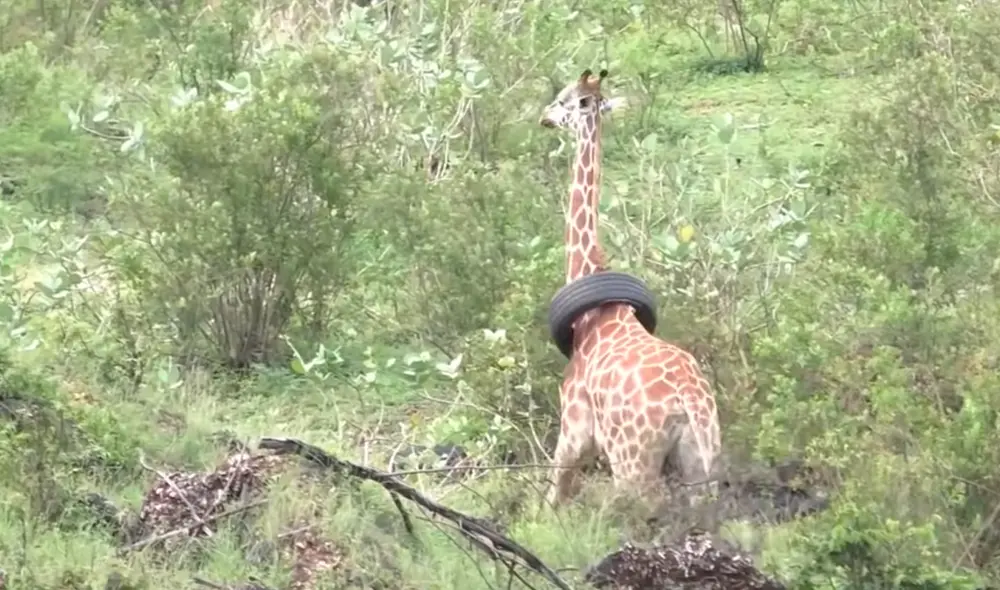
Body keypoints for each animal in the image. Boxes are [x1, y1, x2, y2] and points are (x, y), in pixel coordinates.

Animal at [539, 69, 722, 506]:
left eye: (563, 100)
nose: (543, 117)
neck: (591, 316)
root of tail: (690, 400)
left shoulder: (572, 430)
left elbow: (551, 500)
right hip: (702, 462)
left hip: (632, 462)